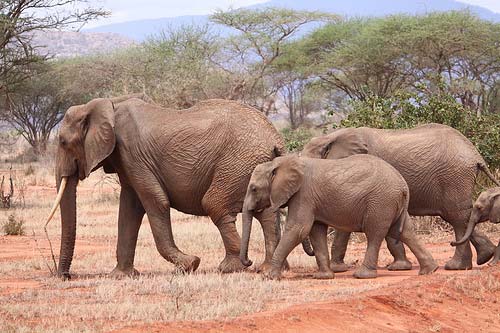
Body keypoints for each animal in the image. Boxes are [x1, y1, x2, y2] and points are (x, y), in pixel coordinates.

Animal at [45, 93, 286, 278]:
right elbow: (129, 211)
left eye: (63, 142)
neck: (108, 104)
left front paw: (190, 264)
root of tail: (275, 138)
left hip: (237, 163)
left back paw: (231, 268)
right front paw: (120, 276)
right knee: (265, 214)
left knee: (214, 204)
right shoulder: (125, 159)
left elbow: (155, 202)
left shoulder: (132, 154)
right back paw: (270, 268)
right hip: (254, 166)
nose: (65, 276)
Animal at [238, 154, 438, 278]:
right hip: (391, 203)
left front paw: (269, 276)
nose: (249, 262)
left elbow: (299, 229)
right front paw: (323, 277)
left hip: (380, 202)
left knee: (375, 233)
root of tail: (403, 185)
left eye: (254, 189)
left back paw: (362, 275)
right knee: (403, 231)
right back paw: (430, 270)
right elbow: (315, 231)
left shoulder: (304, 195)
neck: (282, 162)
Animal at [300, 123, 500, 272]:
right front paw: (400, 267)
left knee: (457, 217)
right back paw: (484, 257)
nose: (311, 253)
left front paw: (337, 269)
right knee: (460, 215)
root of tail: (476, 155)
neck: (331, 137)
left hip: (454, 177)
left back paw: (456, 267)